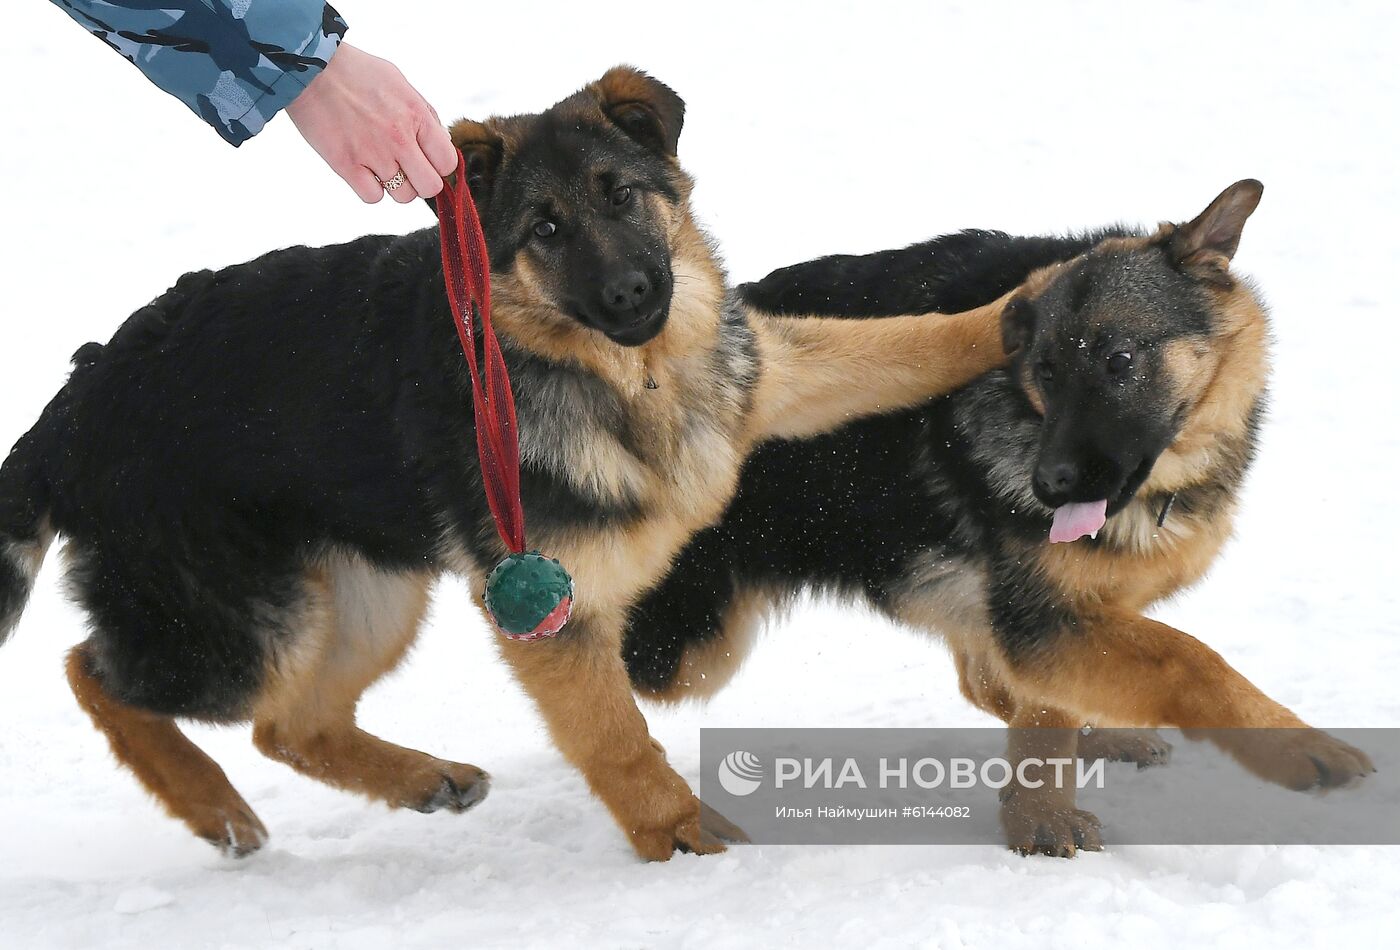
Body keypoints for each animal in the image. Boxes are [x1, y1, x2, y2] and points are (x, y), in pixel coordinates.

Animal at [0, 68, 1019, 861]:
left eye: (621, 195)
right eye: (545, 229)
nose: (635, 294)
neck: (621, 378)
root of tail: (78, 396)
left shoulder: (767, 377)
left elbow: (908, 344)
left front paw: (1023, 306)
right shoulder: (552, 611)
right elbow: (619, 741)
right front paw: (683, 840)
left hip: (365, 599)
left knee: (289, 724)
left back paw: (420, 779)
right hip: (251, 624)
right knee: (93, 671)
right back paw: (211, 803)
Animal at [630, 181, 1372, 856]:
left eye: (1120, 360)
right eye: (1042, 370)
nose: (1046, 486)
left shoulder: (1050, 613)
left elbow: (1048, 696)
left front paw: (1038, 808)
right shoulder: (1040, 616)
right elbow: (1186, 659)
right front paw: (1298, 748)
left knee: (984, 678)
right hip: (688, 644)